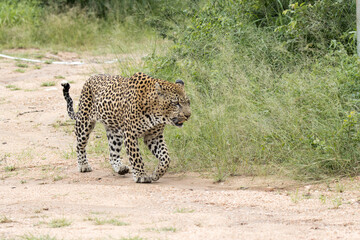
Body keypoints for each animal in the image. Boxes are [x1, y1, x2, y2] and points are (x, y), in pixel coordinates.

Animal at [61, 72, 191, 183]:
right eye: (176, 103)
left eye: (188, 102)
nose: (188, 115)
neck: (157, 114)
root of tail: (91, 77)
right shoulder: (130, 134)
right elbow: (136, 157)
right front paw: (141, 176)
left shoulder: (153, 136)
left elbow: (166, 157)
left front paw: (156, 174)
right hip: (84, 123)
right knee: (80, 145)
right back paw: (83, 165)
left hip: (114, 132)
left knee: (113, 152)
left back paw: (120, 168)